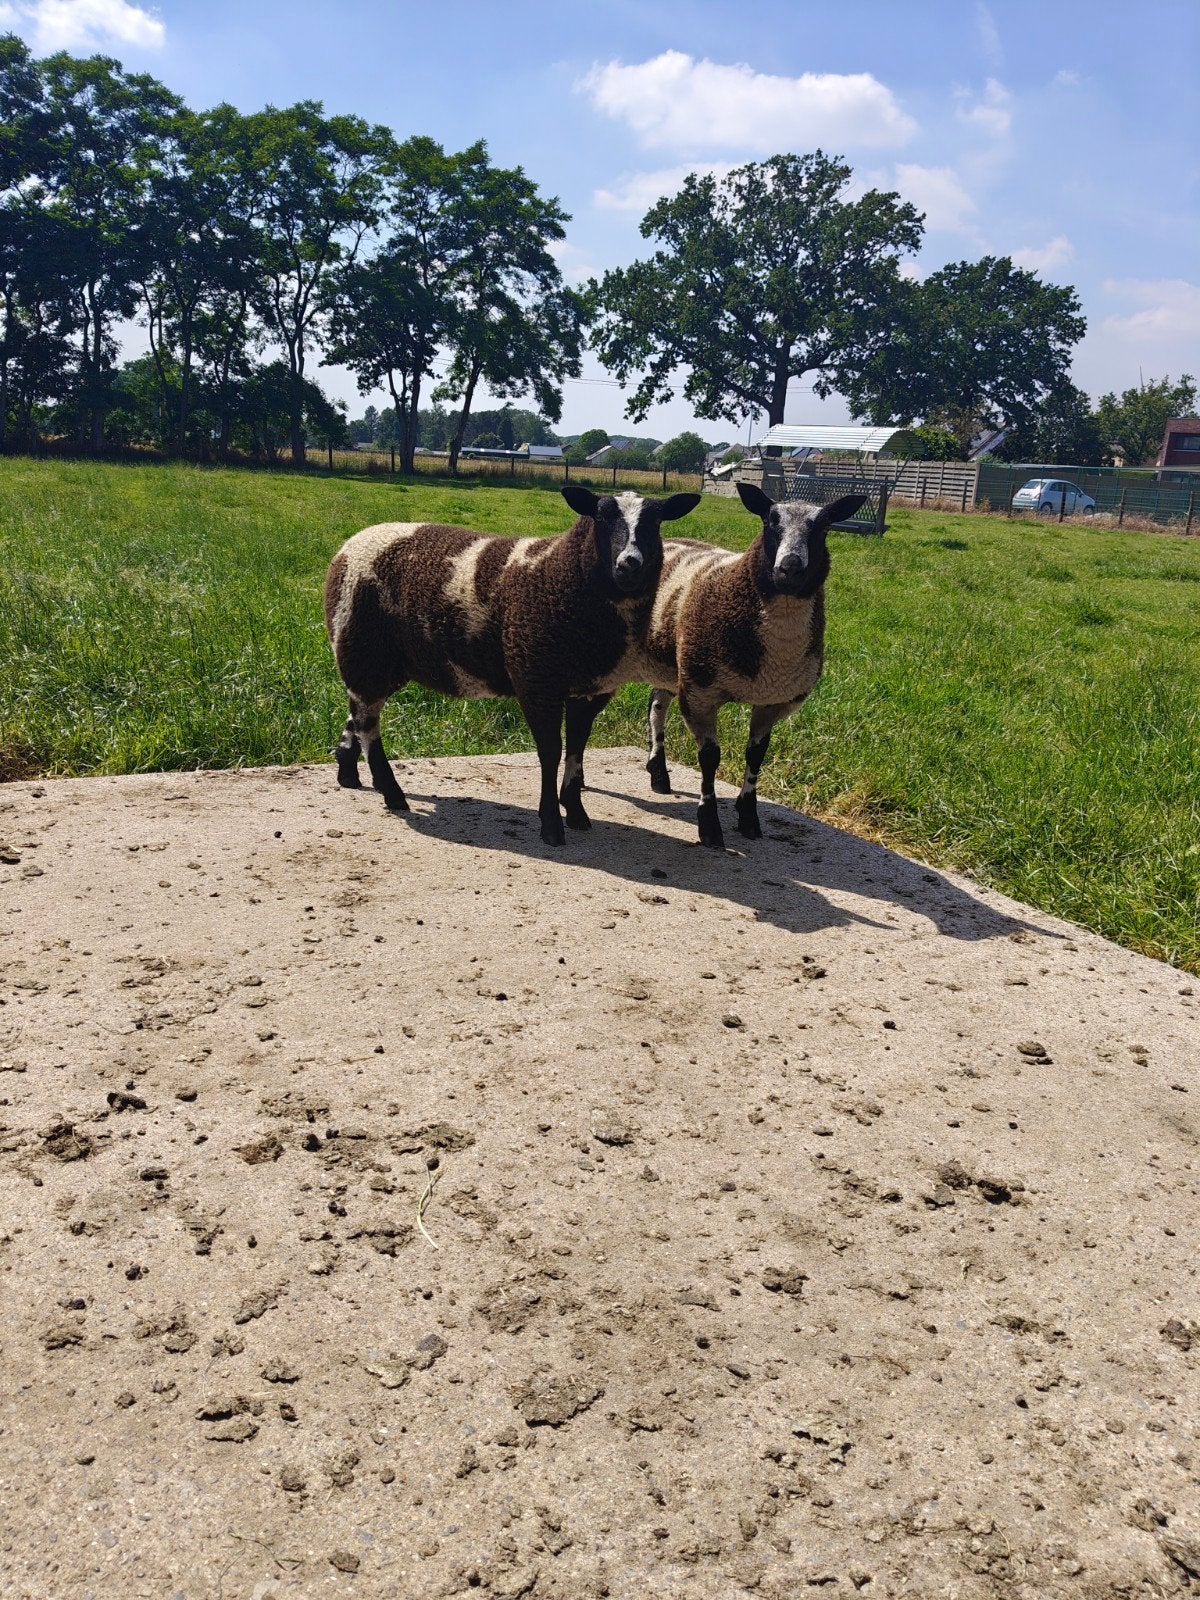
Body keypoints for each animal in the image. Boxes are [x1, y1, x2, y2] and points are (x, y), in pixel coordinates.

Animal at [323, 486, 701, 845]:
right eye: (601, 517)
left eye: (655, 522)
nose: (629, 564)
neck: (559, 573)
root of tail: (348, 545)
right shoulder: (536, 679)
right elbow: (551, 752)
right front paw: (551, 825)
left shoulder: (590, 689)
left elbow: (577, 748)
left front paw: (576, 811)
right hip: (363, 648)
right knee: (368, 724)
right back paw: (391, 792)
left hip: (381, 662)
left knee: (357, 712)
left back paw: (349, 774)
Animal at [609, 480, 866, 849]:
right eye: (770, 522)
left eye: (824, 527)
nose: (790, 568)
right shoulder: (700, 693)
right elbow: (709, 759)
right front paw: (709, 825)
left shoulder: (773, 700)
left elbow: (755, 755)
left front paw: (748, 817)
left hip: (672, 664)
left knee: (656, 707)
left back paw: (658, 774)